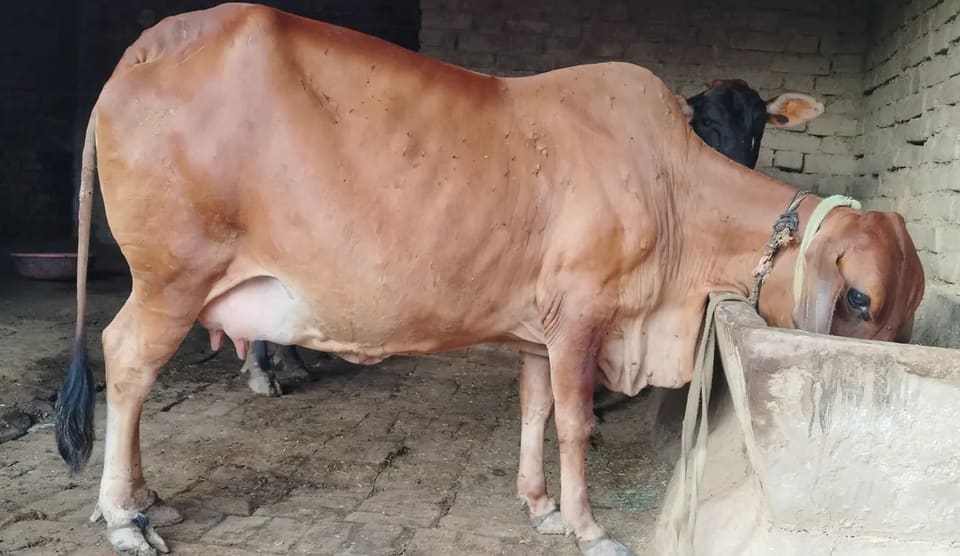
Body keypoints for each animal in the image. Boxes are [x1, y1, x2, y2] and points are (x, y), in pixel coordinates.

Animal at [54, 4, 925, 555]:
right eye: (859, 299)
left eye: (905, 315)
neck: (675, 188)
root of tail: (144, 50)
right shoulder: (580, 316)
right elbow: (572, 422)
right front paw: (588, 527)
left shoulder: (540, 329)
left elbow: (534, 411)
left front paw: (539, 506)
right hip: (171, 276)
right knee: (126, 362)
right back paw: (125, 515)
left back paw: (146, 497)